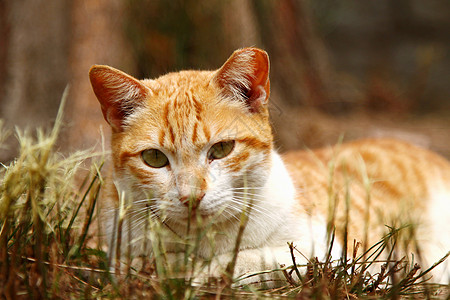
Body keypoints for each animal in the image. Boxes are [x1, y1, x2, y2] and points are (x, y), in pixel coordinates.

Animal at [89, 47, 450, 286]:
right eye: (154, 158)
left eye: (221, 149)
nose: (191, 197)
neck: (205, 240)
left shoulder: (330, 256)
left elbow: (248, 259)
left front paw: (198, 271)